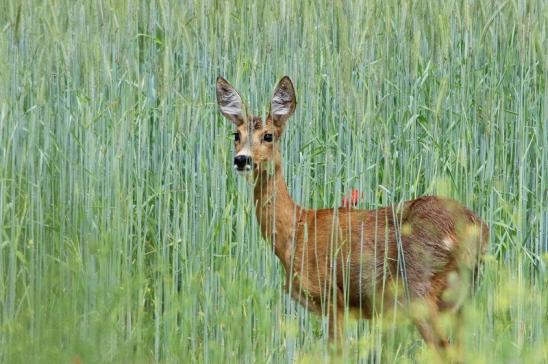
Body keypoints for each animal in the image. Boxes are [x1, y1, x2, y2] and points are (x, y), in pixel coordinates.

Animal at [214, 76, 488, 350]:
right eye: (236, 134)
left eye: (268, 135)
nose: (242, 160)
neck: (296, 229)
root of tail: (478, 227)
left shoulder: (332, 295)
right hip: (461, 297)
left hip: (421, 290)